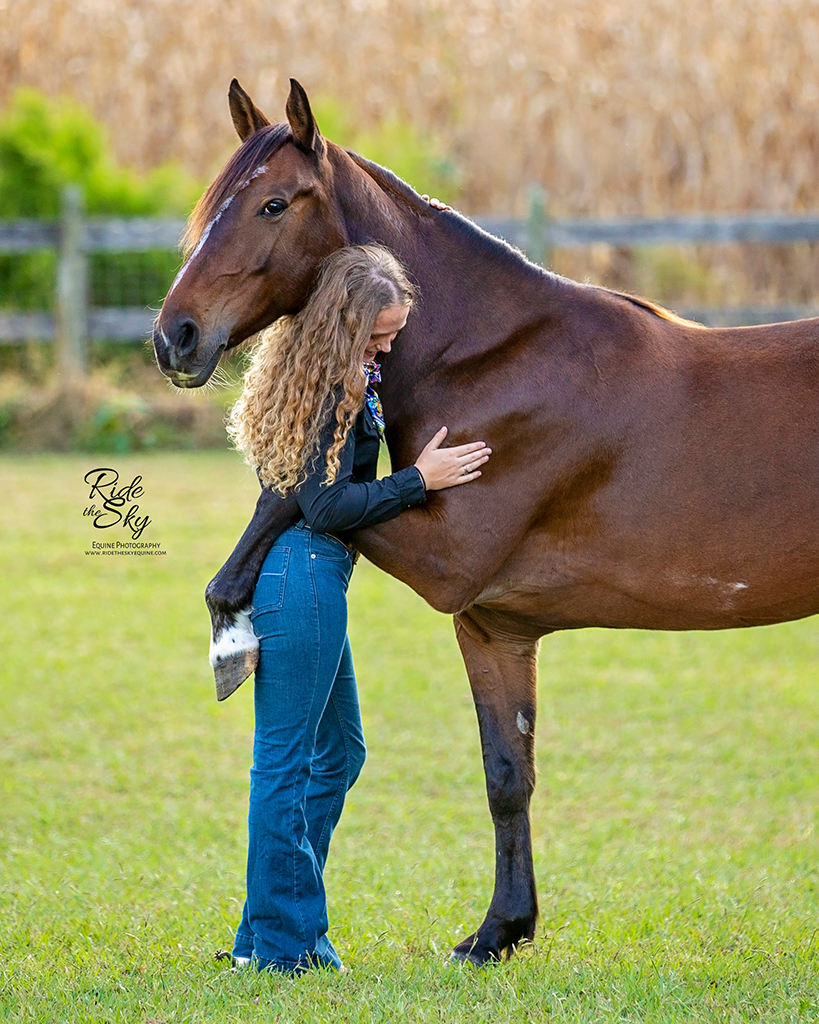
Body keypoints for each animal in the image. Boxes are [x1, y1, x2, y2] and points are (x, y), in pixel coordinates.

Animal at [150, 79, 818, 966]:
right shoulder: (492, 623)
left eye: (273, 204)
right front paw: (501, 929)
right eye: (212, 204)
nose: (175, 337)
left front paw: (230, 624)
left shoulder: (447, 561)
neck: (491, 360)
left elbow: (284, 502)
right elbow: (507, 773)